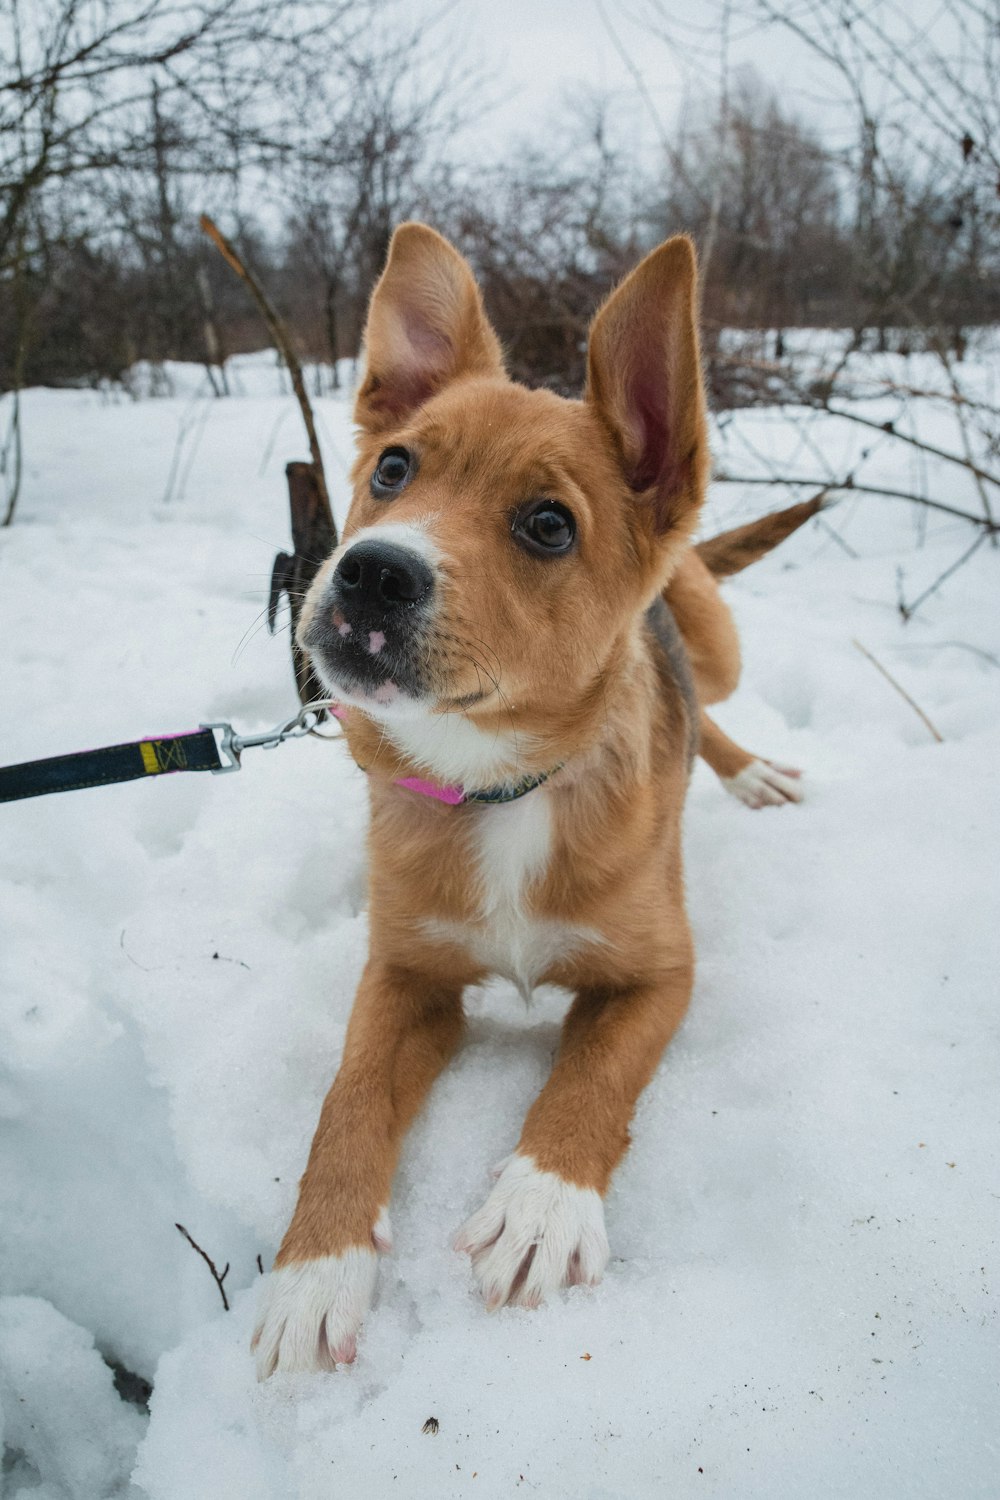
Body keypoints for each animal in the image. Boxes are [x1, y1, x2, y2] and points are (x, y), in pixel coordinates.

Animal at [248, 217, 815, 1374]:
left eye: (550, 526)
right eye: (394, 467)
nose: (369, 572)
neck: (497, 787)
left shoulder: (660, 976)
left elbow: (592, 1076)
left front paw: (543, 1205)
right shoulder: (403, 974)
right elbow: (346, 1100)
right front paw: (315, 1265)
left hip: (714, 637)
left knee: (706, 704)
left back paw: (748, 770)